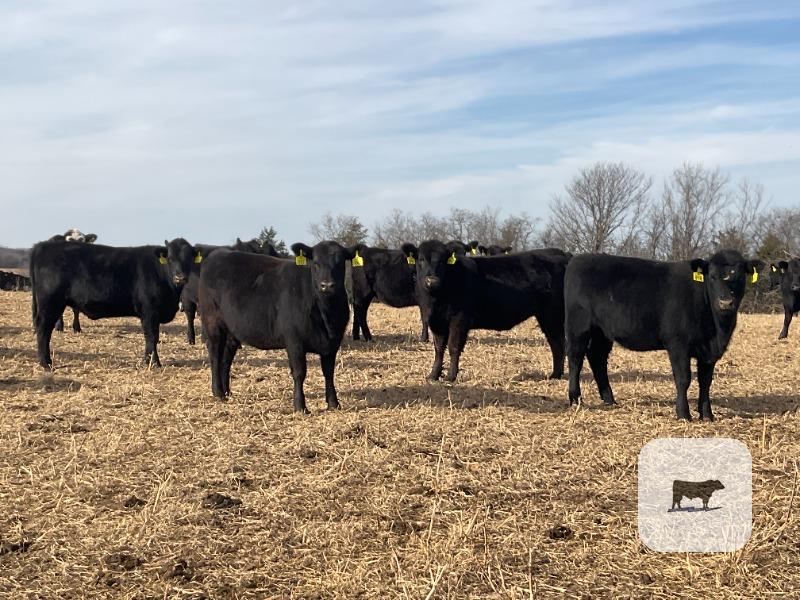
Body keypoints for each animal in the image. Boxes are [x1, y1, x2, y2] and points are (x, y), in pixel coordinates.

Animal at [30, 238, 197, 369]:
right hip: (50, 303)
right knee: (43, 329)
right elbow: (151, 336)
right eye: (170, 258)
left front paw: (147, 360)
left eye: (189, 259)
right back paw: (46, 363)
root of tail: (42, 246)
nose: (180, 278)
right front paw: (154, 363)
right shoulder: (150, 311)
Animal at [198, 241, 355, 412]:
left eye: (340, 263)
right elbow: (299, 372)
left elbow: (329, 372)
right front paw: (300, 406)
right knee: (215, 354)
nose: (327, 285)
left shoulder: (333, 343)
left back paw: (227, 392)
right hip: (212, 322)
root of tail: (218, 253)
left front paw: (333, 403)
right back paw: (218, 392)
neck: (326, 315)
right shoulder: (294, 341)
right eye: (316, 263)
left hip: (232, 330)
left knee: (226, 357)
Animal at [405, 240, 570, 382]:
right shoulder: (437, 321)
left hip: (554, 315)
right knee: (556, 343)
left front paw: (451, 376)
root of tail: (561, 253)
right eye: (421, 260)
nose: (432, 281)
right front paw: (433, 375)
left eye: (442, 261)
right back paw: (555, 375)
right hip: (546, 317)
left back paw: (556, 374)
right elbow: (439, 348)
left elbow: (453, 346)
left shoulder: (459, 319)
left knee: (560, 343)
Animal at [564, 250, 764, 421]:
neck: (717, 331)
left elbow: (705, 382)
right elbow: (683, 379)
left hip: (602, 332)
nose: (726, 302)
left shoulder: (709, 353)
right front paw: (683, 414)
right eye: (712, 277)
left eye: (740, 277)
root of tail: (577, 259)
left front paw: (707, 415)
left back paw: (609, 400)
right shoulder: (678, 344)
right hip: (578, 326)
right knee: (575, 357)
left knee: (597, 358)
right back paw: (576, 399)